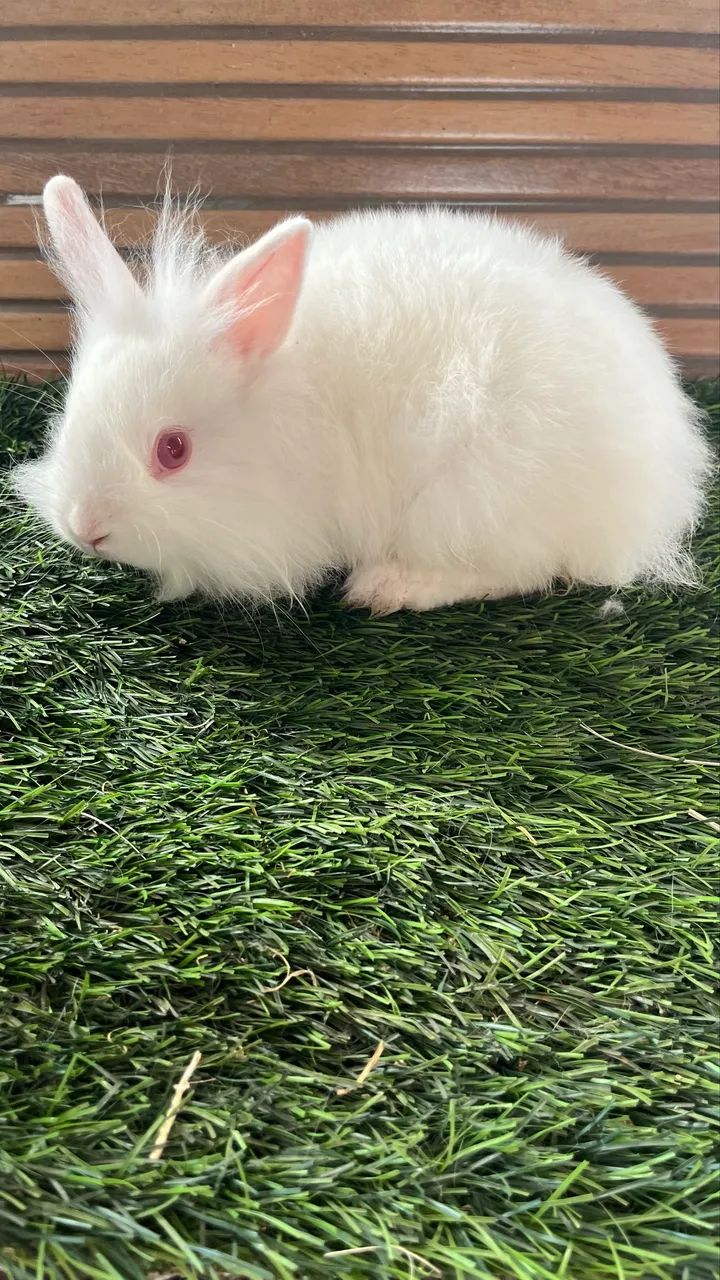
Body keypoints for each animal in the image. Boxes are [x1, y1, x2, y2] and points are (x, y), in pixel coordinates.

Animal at [14, 175, 712, 615]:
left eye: (173, 450)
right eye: (68, 421)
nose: (86, 529)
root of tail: (667, 484)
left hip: (476, 497)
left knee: (518, 571)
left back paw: (389, 587)